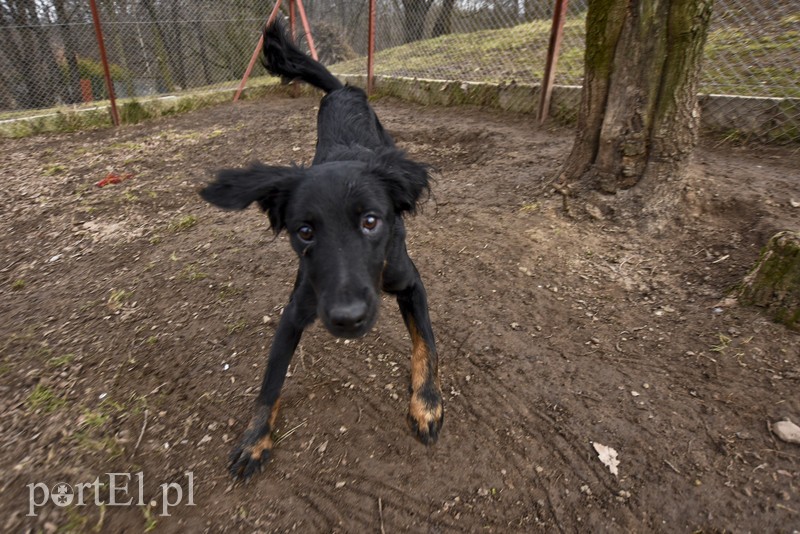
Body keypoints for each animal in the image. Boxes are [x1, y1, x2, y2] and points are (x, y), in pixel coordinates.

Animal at [200, 21, 444, 482]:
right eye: (305, 232)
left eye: (371, 221)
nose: (348, 319)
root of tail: (343, 88)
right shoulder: (296, 309)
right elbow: (270, 381)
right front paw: (254, 438)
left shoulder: (410, 283)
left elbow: (426, 343)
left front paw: (426, 402)